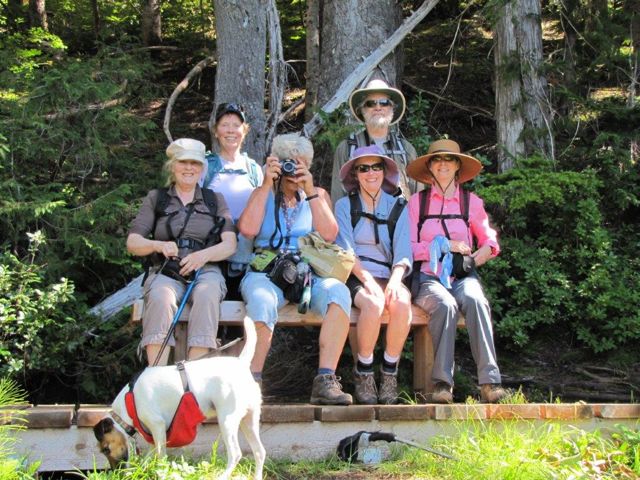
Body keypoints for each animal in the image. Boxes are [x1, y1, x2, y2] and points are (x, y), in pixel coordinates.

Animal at [93, 316, 265, 480]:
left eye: (106, 449)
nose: (116, 472)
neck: (127, 404)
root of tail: (242, 363)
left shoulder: (157, 426)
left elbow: (161, 456)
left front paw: (159, 472)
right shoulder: (154, 435)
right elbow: (150, 456)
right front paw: (143, 471)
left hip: (227, 421)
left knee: (236, 454)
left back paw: (222, 476)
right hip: (249, 420)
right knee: (259, 451)